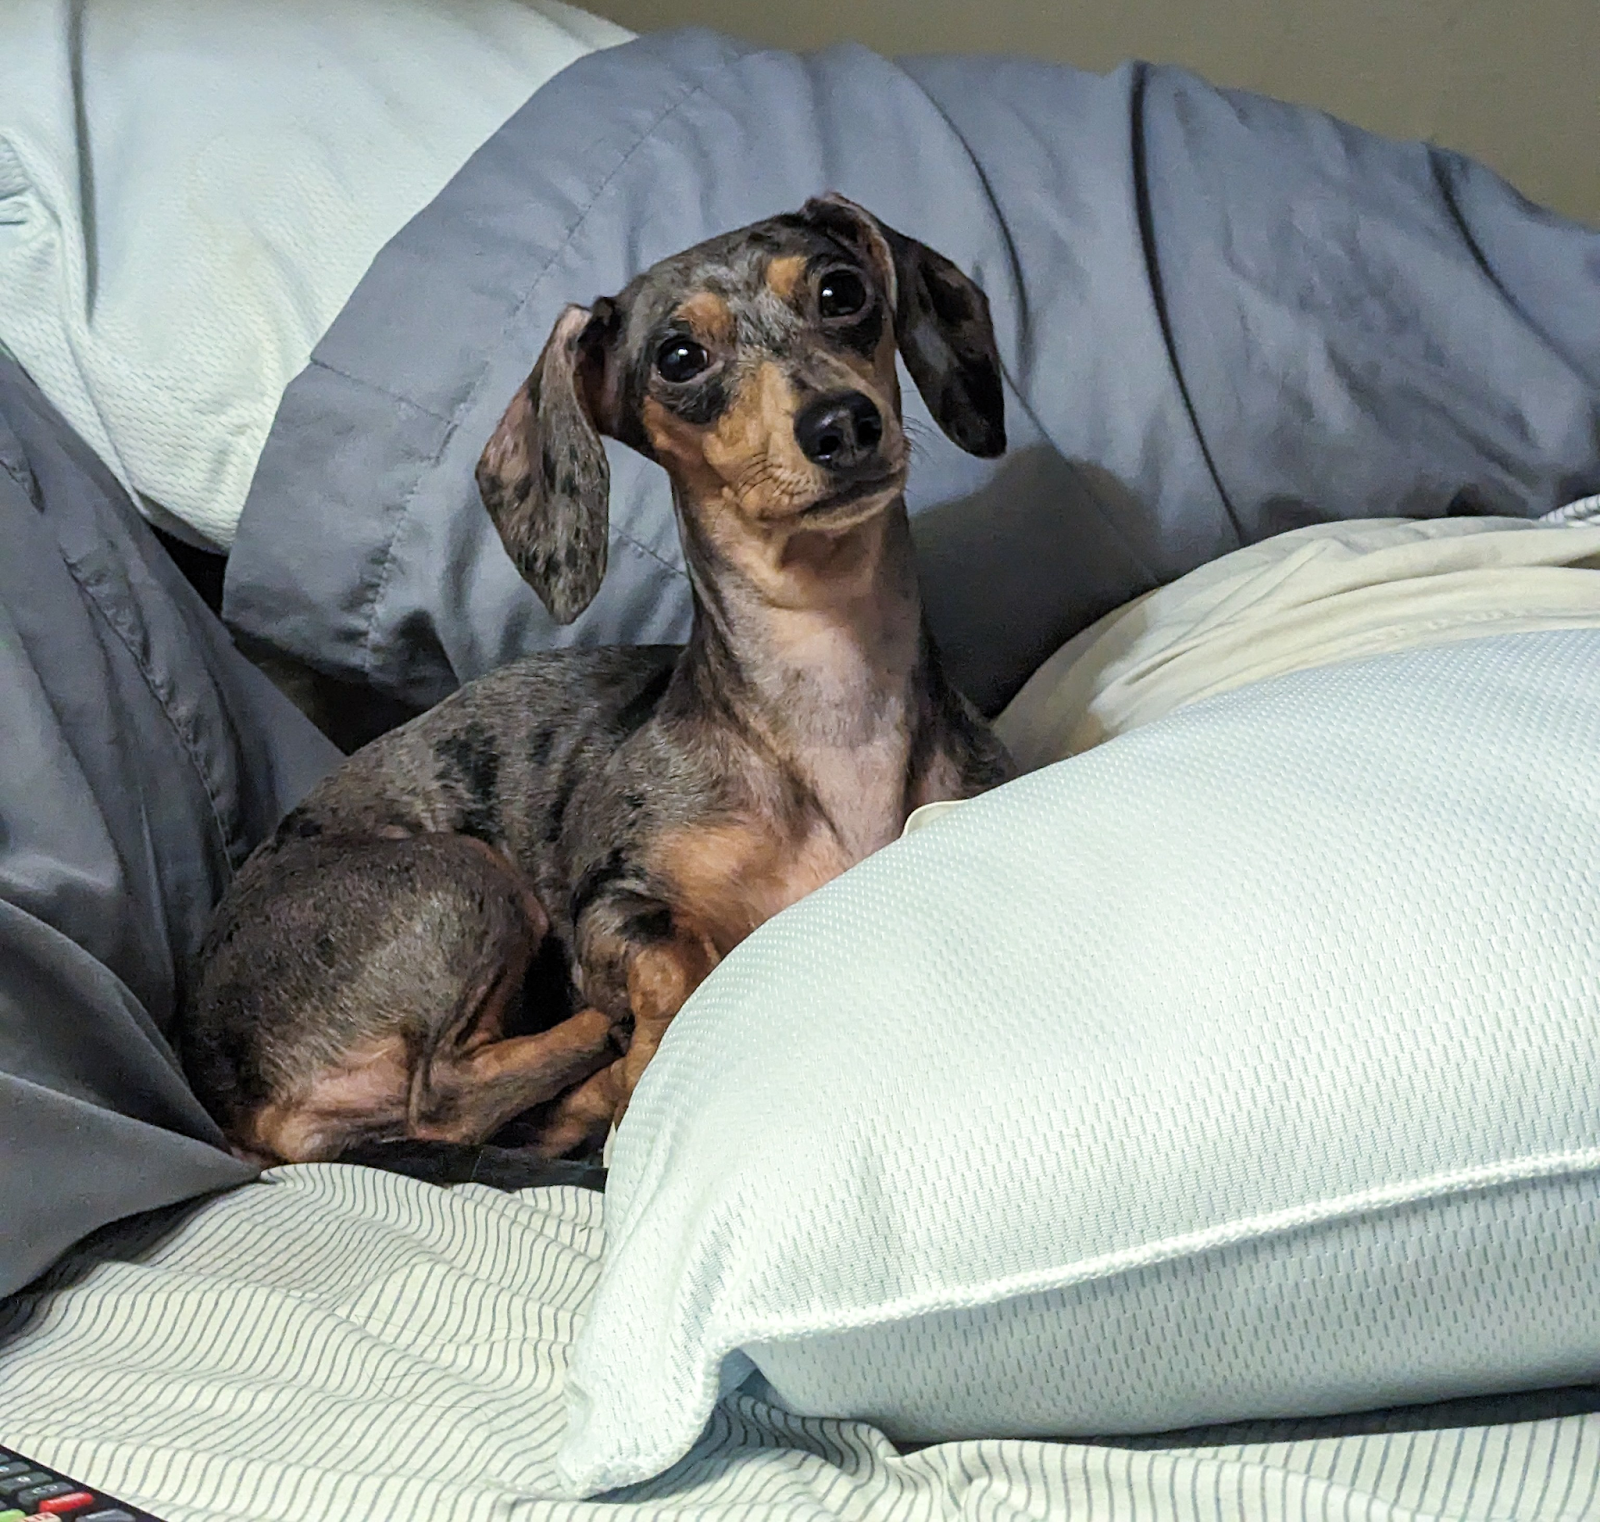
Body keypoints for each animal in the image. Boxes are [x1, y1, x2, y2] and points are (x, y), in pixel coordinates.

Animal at [184, 193, 1011, 1165]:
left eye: (841, 292)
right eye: (680, 356)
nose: (841, 424)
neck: (830, 696)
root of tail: (228, 1094)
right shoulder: (609, 904)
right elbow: (674, 961)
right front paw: (639, 1053)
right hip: (467, 875)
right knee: (444, 1096)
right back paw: (597, 1053)